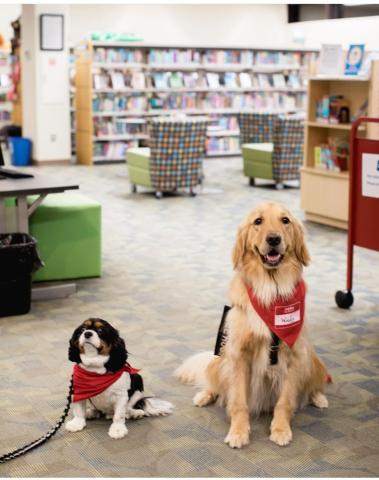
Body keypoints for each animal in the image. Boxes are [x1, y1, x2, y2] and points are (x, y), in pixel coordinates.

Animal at [177, 203, 332, 450]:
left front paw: (280, 429)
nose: (274, 238)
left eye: (285, 220)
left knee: (312, 384)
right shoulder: (239, 354)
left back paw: (318, 397)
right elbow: (238, 401)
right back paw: (204, 395)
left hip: (312, 358)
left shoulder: (295, 355)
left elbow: (285, 401)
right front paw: (238, 432)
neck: (271, 289)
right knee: (216, 384)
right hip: (222, 357)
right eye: (258, 221)